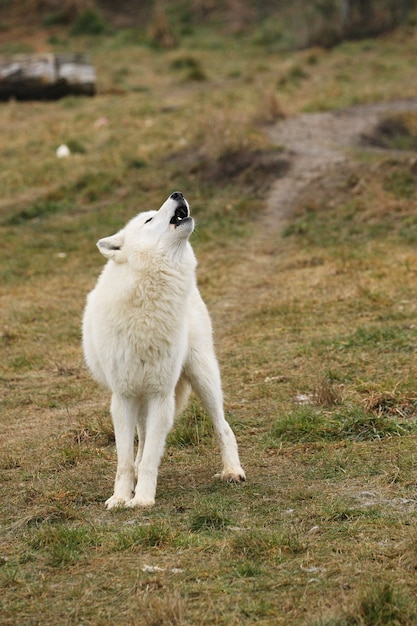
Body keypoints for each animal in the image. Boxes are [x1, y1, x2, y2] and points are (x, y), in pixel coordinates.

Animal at [81, 190, 244, 508]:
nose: (178, 193)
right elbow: (125, 460)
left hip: (203, 377)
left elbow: (147, 460)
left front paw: (143, 499)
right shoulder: (123, 397)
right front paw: (121, 498)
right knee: (143, 439)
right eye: (149, 219)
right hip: (143, 399)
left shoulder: (160, 394)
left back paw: (232, 471)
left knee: (223, 426)